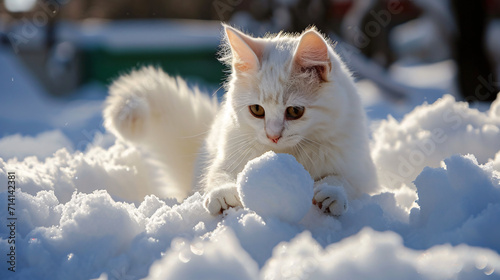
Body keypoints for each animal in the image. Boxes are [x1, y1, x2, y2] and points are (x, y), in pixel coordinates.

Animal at [105, 24, 378, 217]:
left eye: (294, 112)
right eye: (257, 110)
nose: (273, 136)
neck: (289, 154)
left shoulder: (359, 171)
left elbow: (342, 180)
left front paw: (331, 193)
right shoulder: (225, 159)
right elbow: (219, 177)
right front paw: (223, 196)